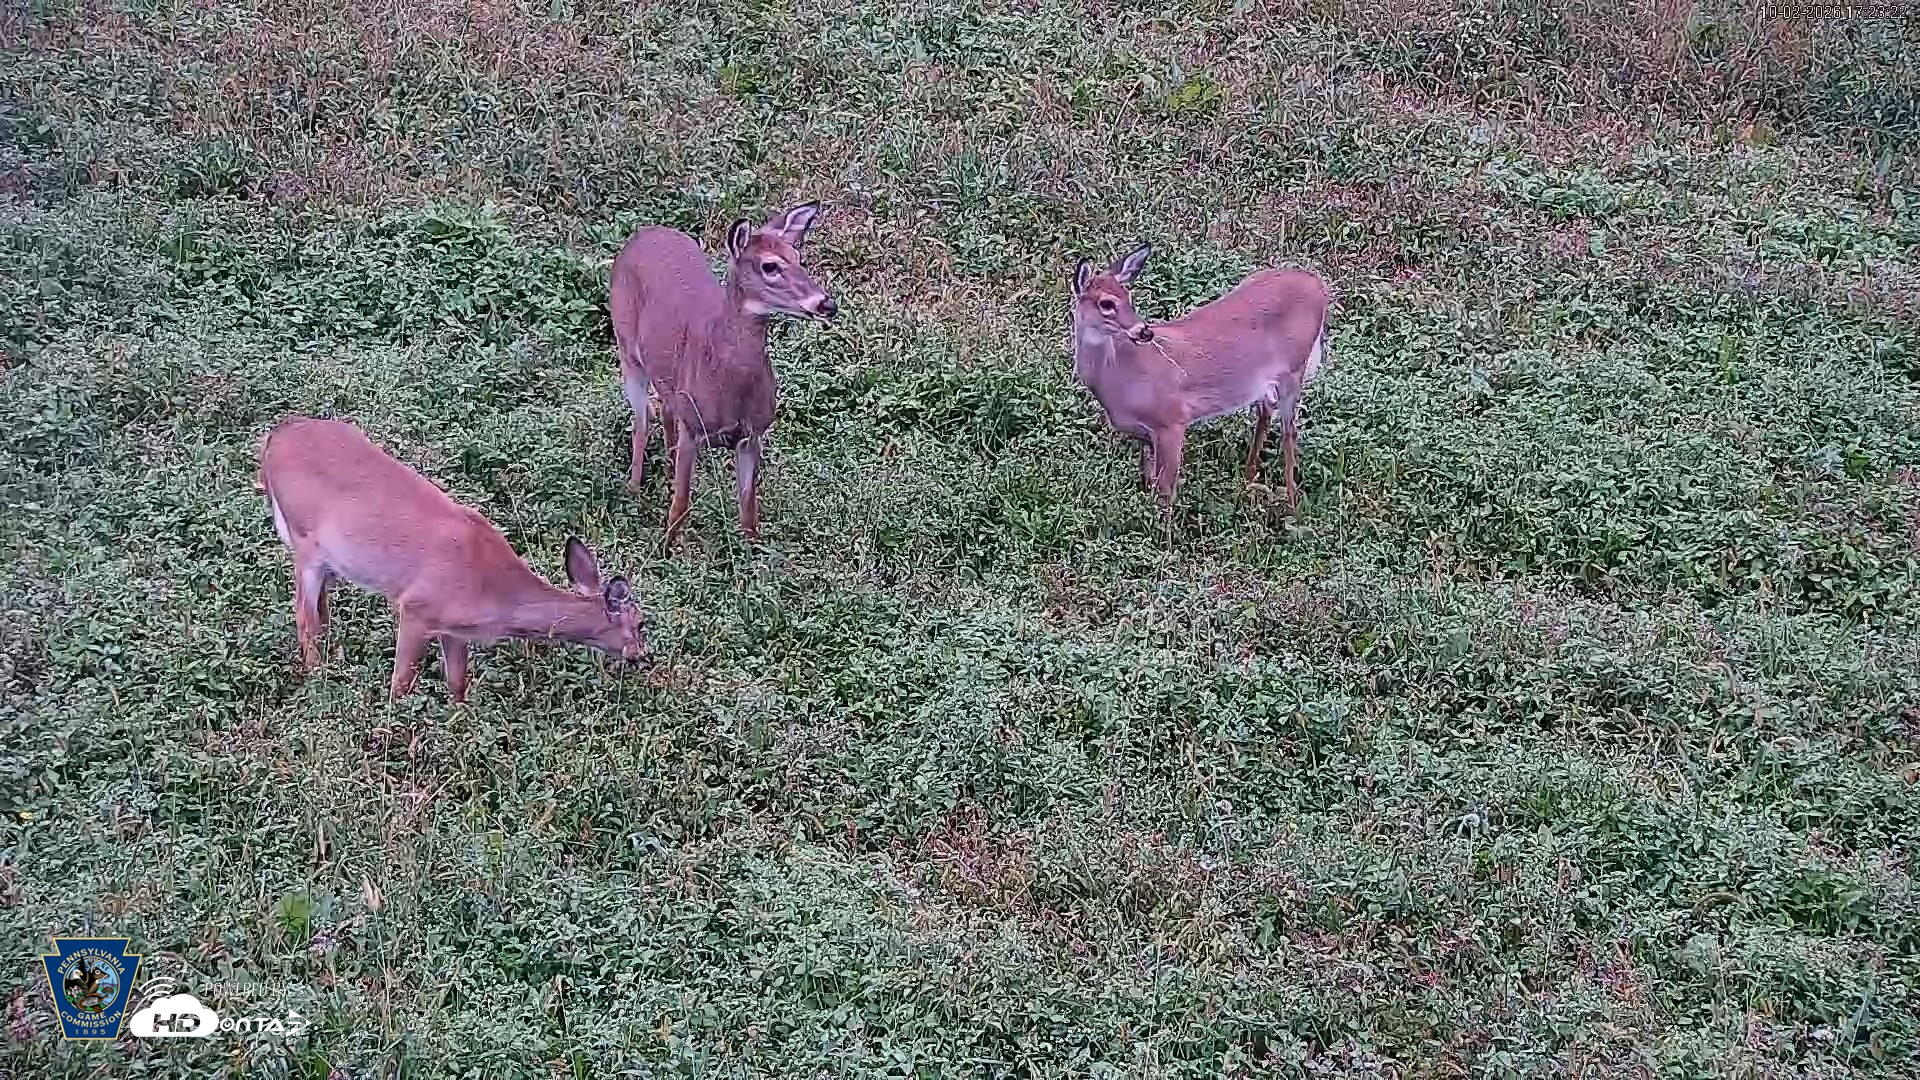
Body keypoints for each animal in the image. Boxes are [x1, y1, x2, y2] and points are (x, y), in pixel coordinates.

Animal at [257, 415, 646, 704]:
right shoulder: (416, 607)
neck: (494, 592)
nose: (642, 656)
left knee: (320, 612)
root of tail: (275, 437)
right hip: (306, 544)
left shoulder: (455, 629)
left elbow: (458, 686)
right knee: (304, 617)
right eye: (641, 622)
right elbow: (401, 685)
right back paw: (318, 679)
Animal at [610, 202, 836, 550]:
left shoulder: (753, 434)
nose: (827, 304)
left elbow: (748, 512)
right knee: (642, 421)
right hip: (627, 351)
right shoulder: (694, 428)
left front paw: (752, 556)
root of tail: (642, 235)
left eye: (798, 256)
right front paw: (665, 550)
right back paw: (633, 490)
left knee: (664, 409)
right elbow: (681, 504)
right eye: (769, 266)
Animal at [1069, 244, 1331, 513]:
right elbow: (1149, 483)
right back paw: (1248, 480)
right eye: (1106, 303)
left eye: (1129, 298)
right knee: (1267, 410)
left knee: (1289, 432)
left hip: (1295, 368)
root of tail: (1318, 285)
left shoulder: (1172, 421)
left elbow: (1165, 495)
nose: (1144, 331)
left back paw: (1292, 506)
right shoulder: (1145, 435)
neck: (1121, 379)